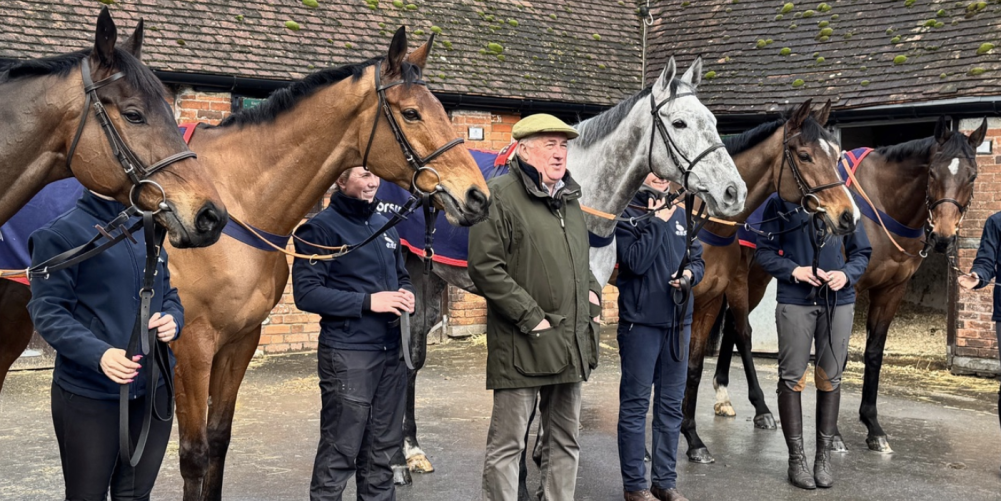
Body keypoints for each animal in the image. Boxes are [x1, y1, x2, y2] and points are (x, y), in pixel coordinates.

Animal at [680, 99, 860, 462]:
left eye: (837, 155)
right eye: (804, 155)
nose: (848, 216)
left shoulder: (710, 300)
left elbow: (693, 367)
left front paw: (692, 438)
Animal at [716, 116, 988, 454]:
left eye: (972, 176)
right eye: (933, 173)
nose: (943, 237)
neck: (882, 198)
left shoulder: (892, 291)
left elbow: (873, 354)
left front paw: (873, 426)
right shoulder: (848, 288)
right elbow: (839, 355)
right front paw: (834, 435)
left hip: (758, 276)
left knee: (731, 327)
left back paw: (726, 397)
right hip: (744, 275)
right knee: (741, 331)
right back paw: (760, 407)